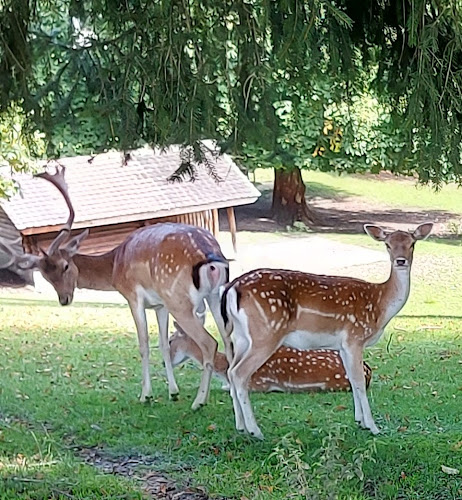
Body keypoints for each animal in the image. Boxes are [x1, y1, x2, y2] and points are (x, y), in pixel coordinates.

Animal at [0, 168, 230, 410]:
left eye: (65, 266)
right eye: (45, 275)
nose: (64, 299)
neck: (114, 266)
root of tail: (209, 253)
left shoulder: (133, 296)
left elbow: (144, 344)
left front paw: (146, 395)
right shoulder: (160, 305)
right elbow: (163, 344)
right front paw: (173, 392)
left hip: (180, 300)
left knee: (209, 342)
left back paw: (199, 401)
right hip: (214, 296)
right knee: (227, 339)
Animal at [220, 223, 434, 438]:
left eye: (412, 243)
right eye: (388, 245)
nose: (401, 261)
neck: (379, 306)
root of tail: (233, 287)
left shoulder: (343, 346)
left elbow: (352, 379)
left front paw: (359, 421)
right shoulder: (355, 337)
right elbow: (358, 381)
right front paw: (373, 426)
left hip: (241, 336)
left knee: (230, 370)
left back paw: (240, 425)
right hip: (266, 333)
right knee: (239, 373)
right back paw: (255, 430)